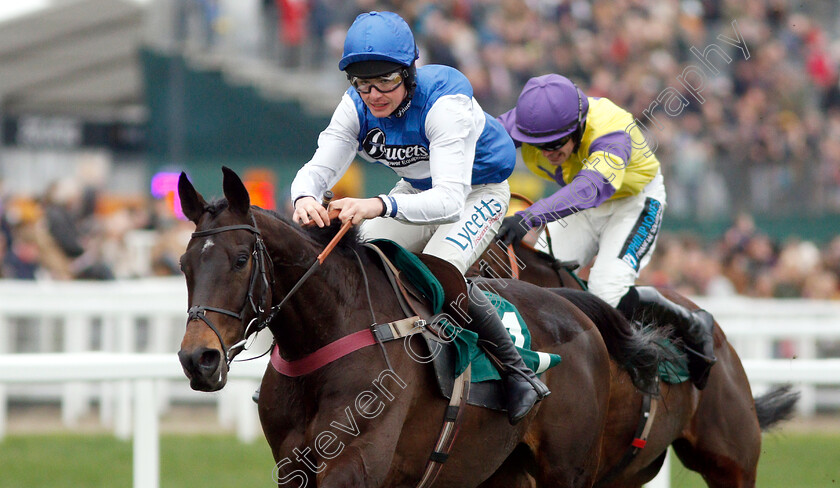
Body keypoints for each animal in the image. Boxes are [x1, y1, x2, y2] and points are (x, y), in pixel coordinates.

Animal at [176, 168, 668, 488]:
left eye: (241, 259)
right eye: (183, 264)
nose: (198, 359)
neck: (331, 333)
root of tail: (572, 304)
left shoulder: (355, 465)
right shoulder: (291, 466)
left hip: (570, 467)